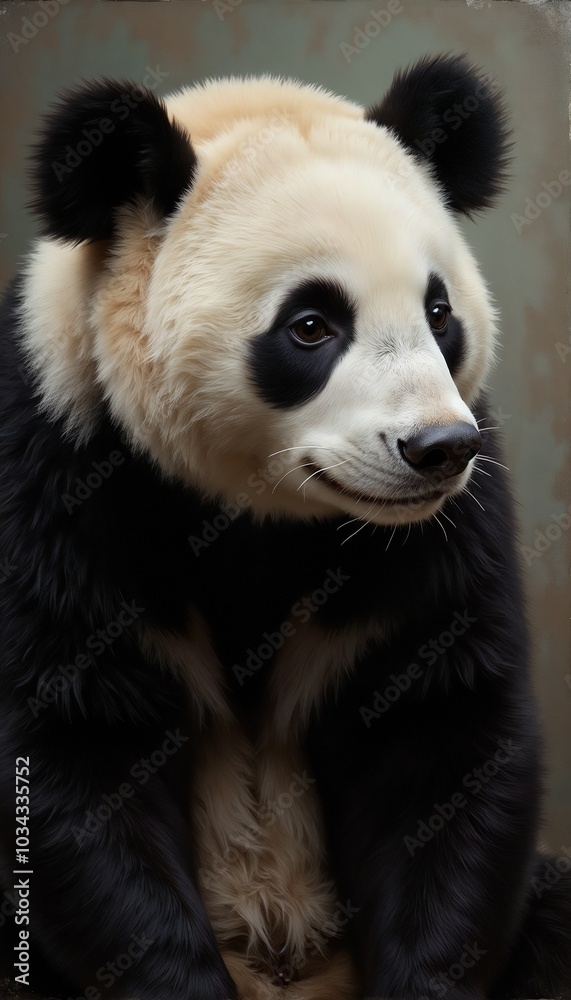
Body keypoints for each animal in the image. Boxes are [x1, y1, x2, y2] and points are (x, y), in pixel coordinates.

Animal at [0, 53, 569, 1000]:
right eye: (311, 325)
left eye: (438, 312)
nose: (437, 449)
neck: (260, 516)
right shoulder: (58, 480)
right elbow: (74, 751)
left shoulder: (442, 538)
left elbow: (442, 736)